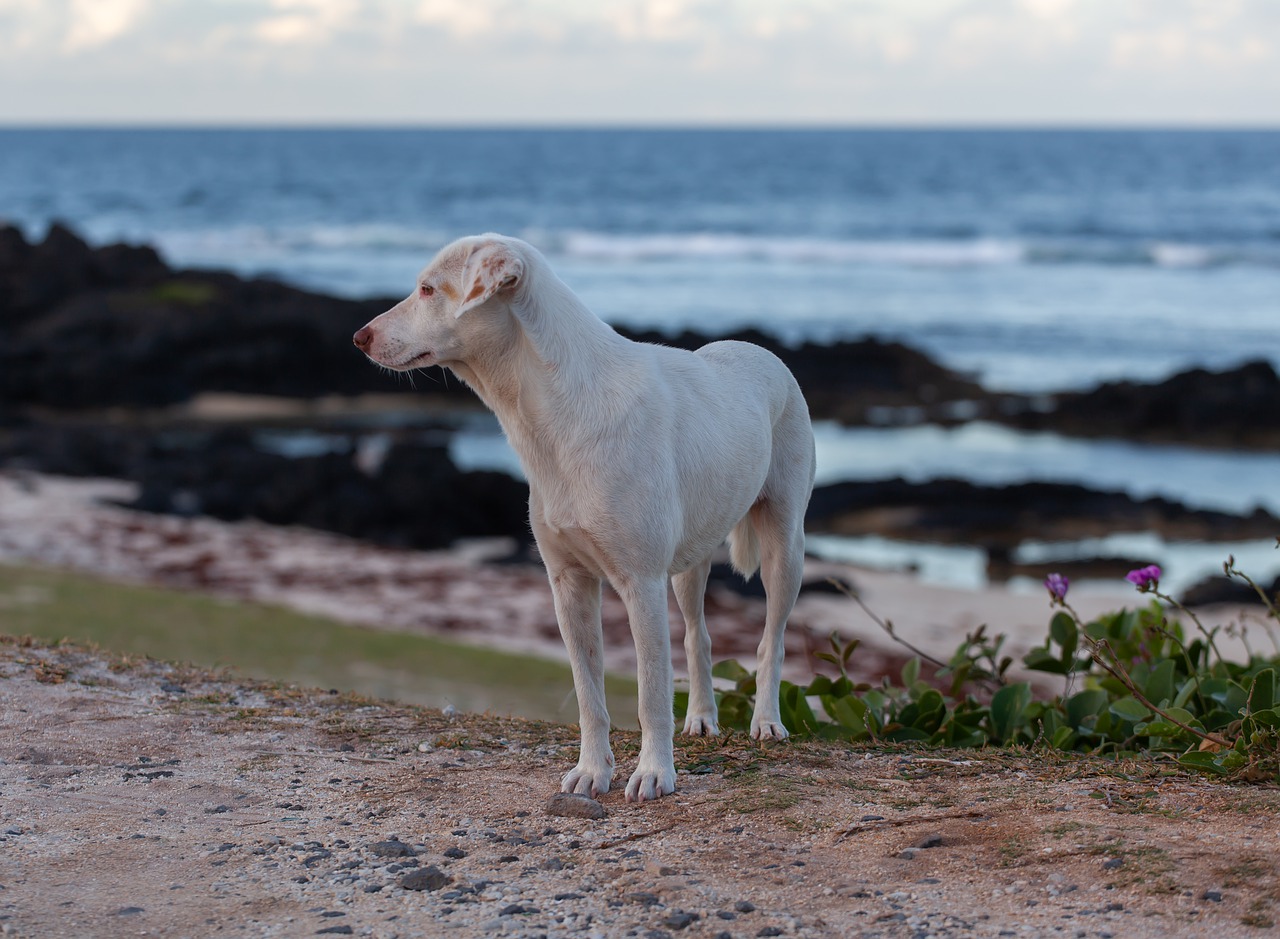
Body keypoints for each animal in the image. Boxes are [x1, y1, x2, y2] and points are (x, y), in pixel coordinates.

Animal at [353, 235, 808, 803]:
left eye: (429, 289)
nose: (359, 338)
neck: (557, 408)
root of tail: (758, 350)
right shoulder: (568, 583)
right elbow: (588, 692)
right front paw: (592, 772)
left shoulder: (640, 583)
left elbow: (651, 692)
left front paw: (654, 773)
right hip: (689, 564)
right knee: (698, 636)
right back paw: (702, 719)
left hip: (784, 548)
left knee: (772, 638)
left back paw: (766, 722)